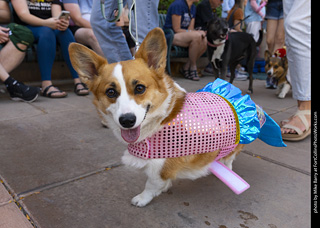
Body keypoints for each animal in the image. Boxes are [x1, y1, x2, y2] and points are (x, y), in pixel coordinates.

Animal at [69, 28, 244, 207]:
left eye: (140, 88)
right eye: (110, 92)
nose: (127, 121)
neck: (162, 118)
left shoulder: (158, 167)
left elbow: (150, 185)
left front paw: (142, 199)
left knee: (229, 158)